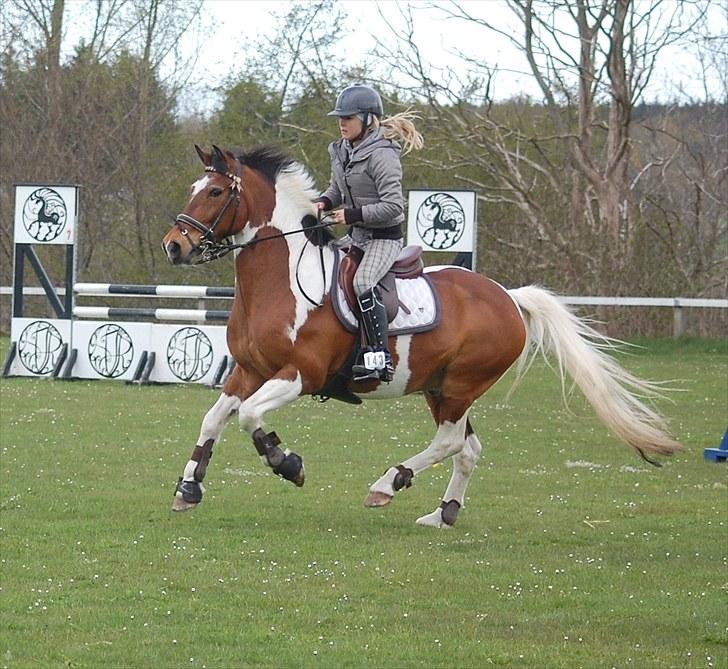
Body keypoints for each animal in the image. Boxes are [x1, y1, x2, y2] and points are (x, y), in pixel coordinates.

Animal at [161, 145, 684, 528]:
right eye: (195, 188)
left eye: (214, 192)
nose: (174, 245)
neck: (283, 279)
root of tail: (508, 296)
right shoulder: (249, 370)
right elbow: (214, 418)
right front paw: (190, 487)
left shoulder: (300, 374)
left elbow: (250, 416)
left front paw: (286, 463)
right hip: (440, 387)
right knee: (468, 449)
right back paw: (443, 514)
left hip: (460, 386)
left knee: (451, 443)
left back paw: (387, 484)